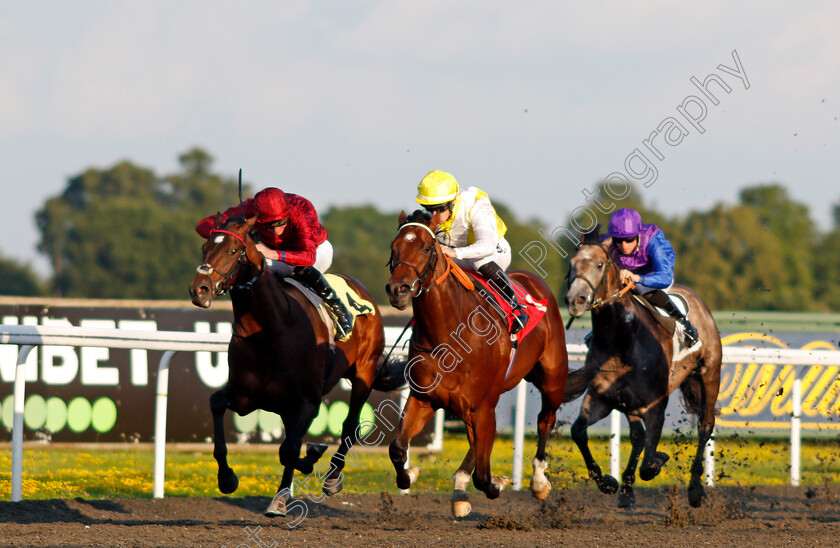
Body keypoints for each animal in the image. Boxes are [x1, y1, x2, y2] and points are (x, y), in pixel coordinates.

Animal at [189, 216, 392, 516]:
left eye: (233, 251)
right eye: (204, 248)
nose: (198, 289)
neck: (271, 330)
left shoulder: (307, 401)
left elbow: (289, 450)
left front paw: (309, 461)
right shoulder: (245, 396)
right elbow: (216, 404)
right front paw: (227, 478)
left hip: (363, 372)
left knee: (349, 424)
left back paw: (331, 478)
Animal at [388, 210, 572, 520]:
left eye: (426, 248)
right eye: (394, 247)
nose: (397, 290)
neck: (448, 336)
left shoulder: (483, 405)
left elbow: (484, 478)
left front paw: (500, 482)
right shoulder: (424, 399)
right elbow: (398, 449)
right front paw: (410, 474)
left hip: (552, 378)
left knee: (545, 419)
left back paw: (538, 482)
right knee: (476, 441)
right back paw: (460, 489)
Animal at [564, 225, 720, 508]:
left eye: (600, 264)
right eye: (572, 264)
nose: (575, 300)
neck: (622, 342)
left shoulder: (656, 404)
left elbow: (649, 462)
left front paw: (659, 460)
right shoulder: (601, 397)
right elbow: (578, 431)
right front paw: (608, 482)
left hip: (709, 376)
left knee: (705, 424)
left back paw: (695, 489)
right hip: (630, 403)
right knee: (637, 435)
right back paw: (626, 490)